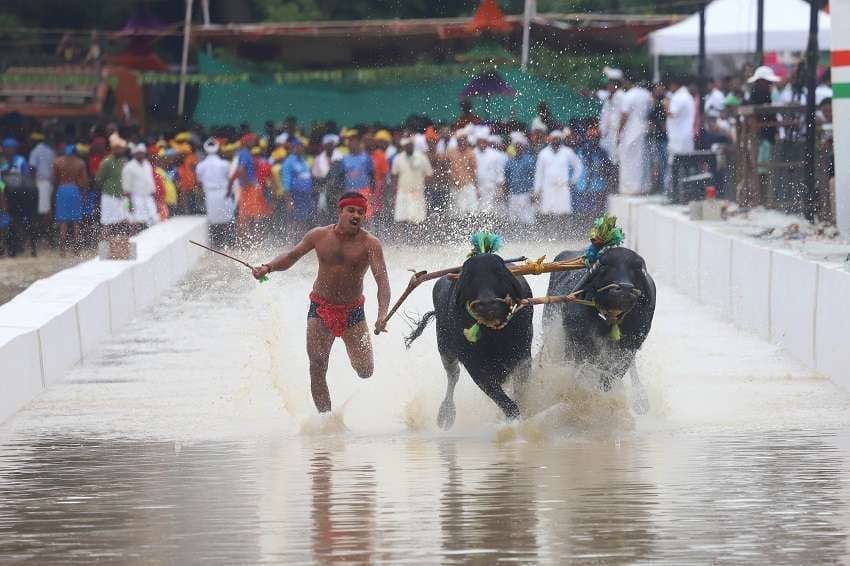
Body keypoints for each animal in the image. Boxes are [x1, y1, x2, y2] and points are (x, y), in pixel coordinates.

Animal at [404, 254, 528, 430]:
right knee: (453, 375)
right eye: (470, 278)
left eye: (498, 274)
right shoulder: (475, 367)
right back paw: (446, 413)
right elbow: (504, 400)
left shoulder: (523, 355)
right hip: (444, 347)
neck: (494, 337)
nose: (486, 304)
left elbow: (520, 389)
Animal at [544, 246, 656, 410]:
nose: (625, 289)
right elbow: (583, 372)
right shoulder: (579, 345)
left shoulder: (627, 349)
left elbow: (609, 377)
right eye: (605, 266)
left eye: (636, 269)